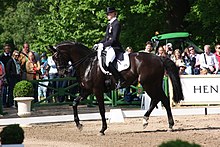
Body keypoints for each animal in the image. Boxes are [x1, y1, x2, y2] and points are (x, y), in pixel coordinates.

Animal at [48, 40, 184, 135]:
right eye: (53, 59)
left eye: (58, 56)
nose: (62, 73)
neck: (88, 64)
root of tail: (158, 57)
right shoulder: (87, 91)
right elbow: (74, 103)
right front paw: (79, 125)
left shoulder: (97, 90)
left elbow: (102, 110)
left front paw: (102, 130)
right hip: (151, 84)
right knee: (157, 99)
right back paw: (145, 120)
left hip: (149, 84)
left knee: (163, 99)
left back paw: (170, 126)